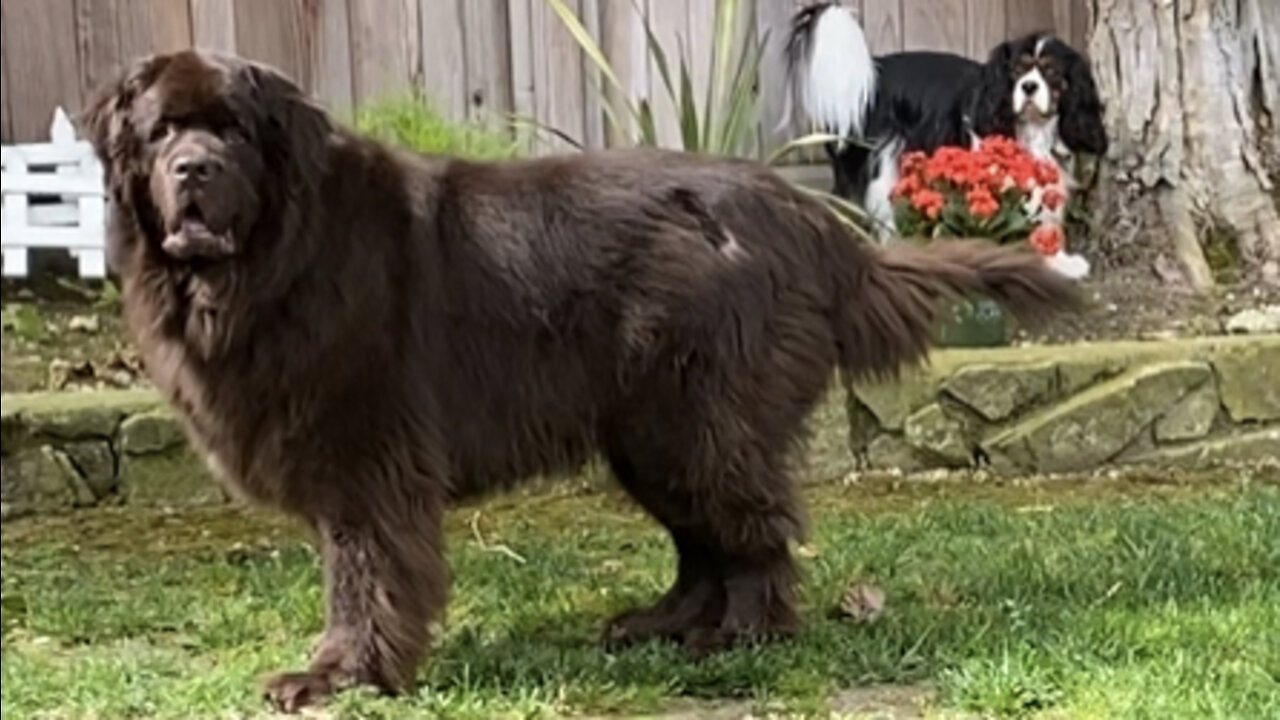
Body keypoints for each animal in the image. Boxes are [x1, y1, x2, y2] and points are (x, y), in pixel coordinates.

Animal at [80, 49, 1075, 707]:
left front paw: (342, 675)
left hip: (694, 416)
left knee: (754, 533)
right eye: (162, 131)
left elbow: (364, 574)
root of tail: (810, 221)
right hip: (649, 428)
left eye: (233, 131)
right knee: (704, 539)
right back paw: (658, 625)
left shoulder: (370, 455)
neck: (271, 258)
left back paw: (738, 638)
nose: (193, 170)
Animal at [783, 3, 1105, 238]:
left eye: (1052, 72)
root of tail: (874, 74)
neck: (1032, 128)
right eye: (1016, 70)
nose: (1028, 86)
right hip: (881, 162)